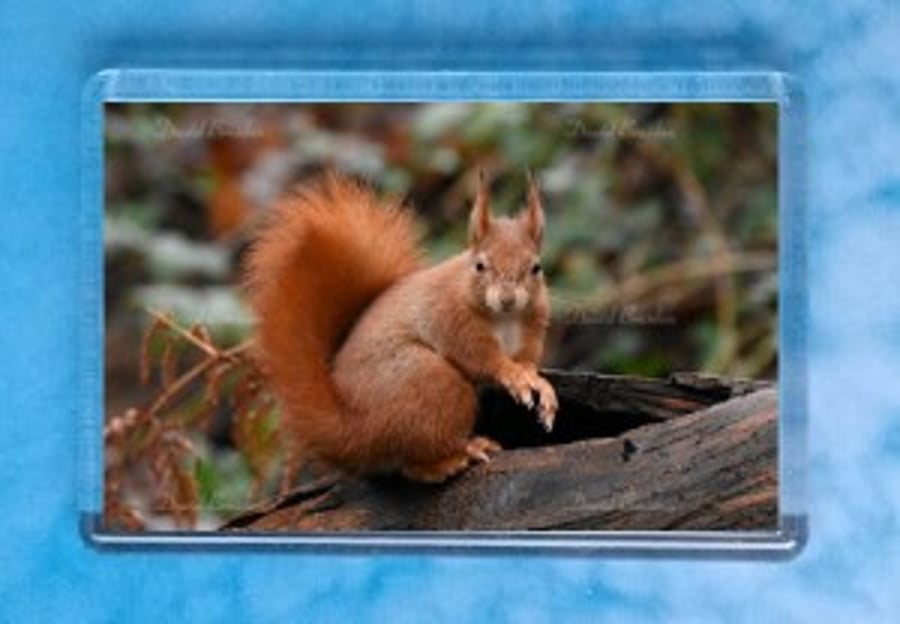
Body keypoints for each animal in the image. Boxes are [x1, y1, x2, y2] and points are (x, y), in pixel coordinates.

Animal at [243, 171, 558, 483]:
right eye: (479, 266)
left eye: (536, 268)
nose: (507, 299)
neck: (505, 319)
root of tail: (353, 430)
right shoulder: (451, 319)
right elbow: (481, 357)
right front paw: (513, 375)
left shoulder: (532, 328)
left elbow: (527, 361)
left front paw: (538, 383)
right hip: (431, 382)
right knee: (415, 462)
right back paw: (460, 454)